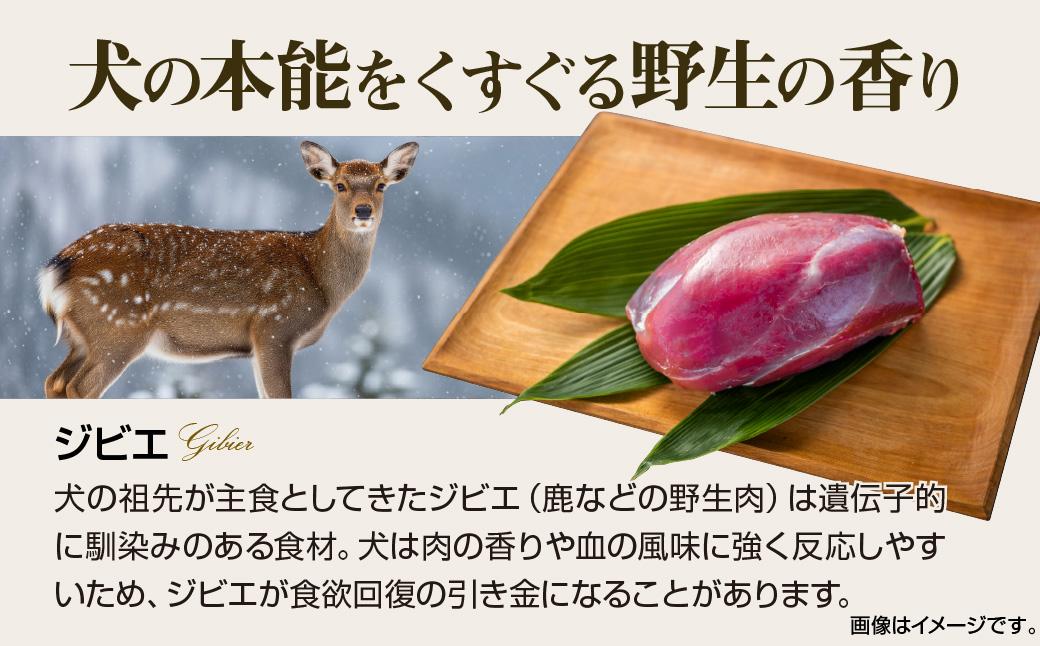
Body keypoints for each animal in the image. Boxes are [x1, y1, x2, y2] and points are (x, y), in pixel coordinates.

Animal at [37, 140, 419, 398]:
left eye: (381, 185)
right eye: (339, 185)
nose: (363, 211)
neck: (320, 280)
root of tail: (58, 266)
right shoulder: (275, 327)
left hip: (83, 336)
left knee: (54, 381)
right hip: (119, 327)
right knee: (79, 387)